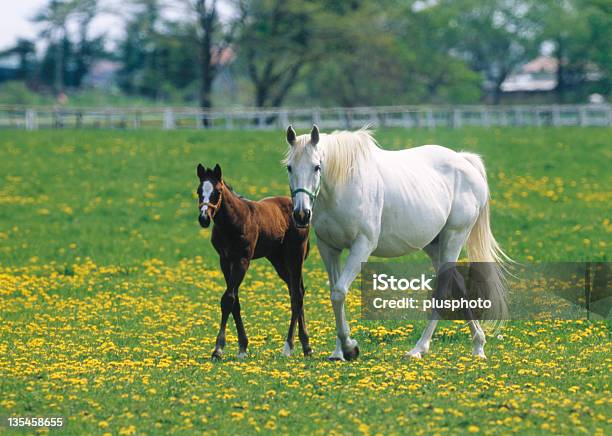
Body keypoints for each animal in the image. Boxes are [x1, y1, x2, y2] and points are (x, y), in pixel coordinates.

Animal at [196, 162, 310, 360]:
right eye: (198, 191)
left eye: (217, 191)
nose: (204, 218)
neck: (233, 221)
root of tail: (300, 211)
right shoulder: (225, 260)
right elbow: (235, 302)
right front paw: (242, 347)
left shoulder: (243, 260)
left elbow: (228, 299)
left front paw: (218, 349)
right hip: (278, 260)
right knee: (296, 291)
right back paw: (305, 345)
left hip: (294, 255)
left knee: (297, 295)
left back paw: (288, 346)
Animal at [284, 124, 510, 360]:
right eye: (290, 167)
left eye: (317, 167)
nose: (301, 215)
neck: (343, 185)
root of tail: (465, 162)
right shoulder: (329, 248)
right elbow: (336, 294)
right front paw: (339, 352)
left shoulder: (362, 246)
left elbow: (339, 292)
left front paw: (349, 347)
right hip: (434, 246)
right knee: (458, 287)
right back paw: (478, 345)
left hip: (453, 238)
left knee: (443, 290)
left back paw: (419, 348)